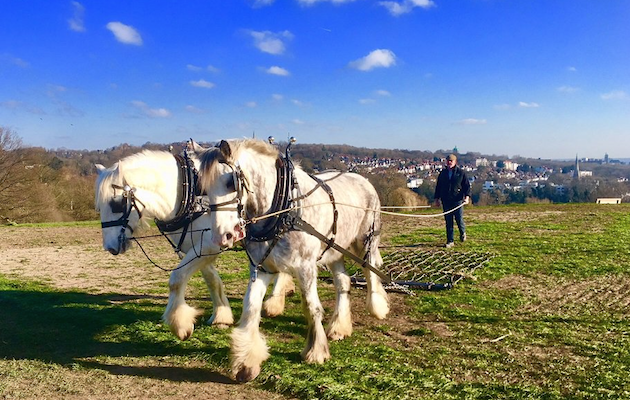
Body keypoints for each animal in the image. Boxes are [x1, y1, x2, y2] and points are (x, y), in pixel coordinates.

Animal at [94, 148, 296, 342]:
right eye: (99, 207)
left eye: (117, 204)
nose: (110, 247)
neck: (190, 195)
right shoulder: (197, 250)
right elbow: (212, 280)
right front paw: (221, 316)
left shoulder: (209, 245)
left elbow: (176, 279)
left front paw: (180, 325)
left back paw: (274, 303)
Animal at [199, 139, 390, 382]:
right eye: (203, 189)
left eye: (230, 182)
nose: (222, 236)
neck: (283, 209)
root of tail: (362, 179)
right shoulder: (262, 267)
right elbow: (251, 307)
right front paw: (246, 362)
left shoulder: (305, 266)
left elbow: (311, 307)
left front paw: (316, 351)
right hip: (333, 250)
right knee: (343, 282)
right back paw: (339, 327)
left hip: (366, 242)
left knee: (371, 272)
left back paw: (377, 306)